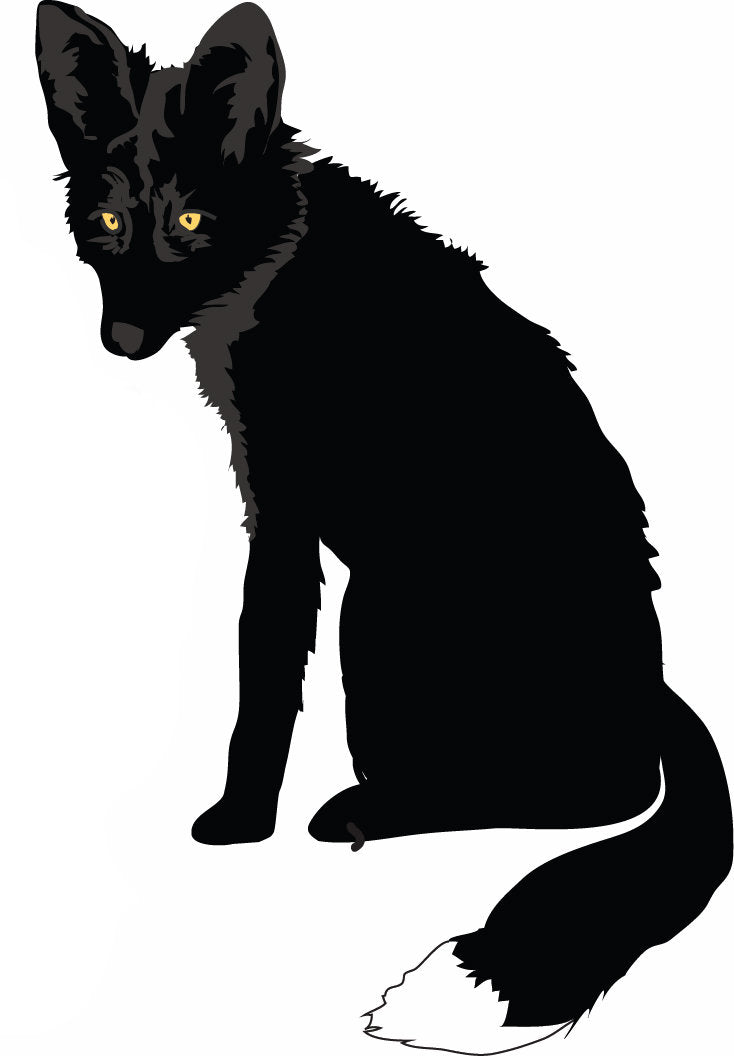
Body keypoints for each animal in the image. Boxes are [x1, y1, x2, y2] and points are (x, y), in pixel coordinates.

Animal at [36, 3, 732, 1054]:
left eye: (192, 221)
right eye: (108, 221)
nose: (120, 343)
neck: (277, 269)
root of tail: (653, 688)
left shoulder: (282, 518)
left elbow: (261, 680)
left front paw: (241, 821)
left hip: (383, 605)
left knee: (598, 793)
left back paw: (364, 812)